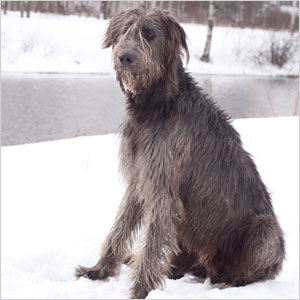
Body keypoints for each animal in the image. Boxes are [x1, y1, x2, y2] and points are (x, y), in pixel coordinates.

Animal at [75, 5, 286, 298]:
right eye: (124, 31)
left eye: (149, 34)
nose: (124, 57)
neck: (157, 106)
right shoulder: (139, 178)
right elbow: (120, 227)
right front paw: (99, 271)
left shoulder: (163, 185)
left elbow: (152, 243)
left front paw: (140, 290)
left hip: (264, 229)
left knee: (247, 272)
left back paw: (226, 283)